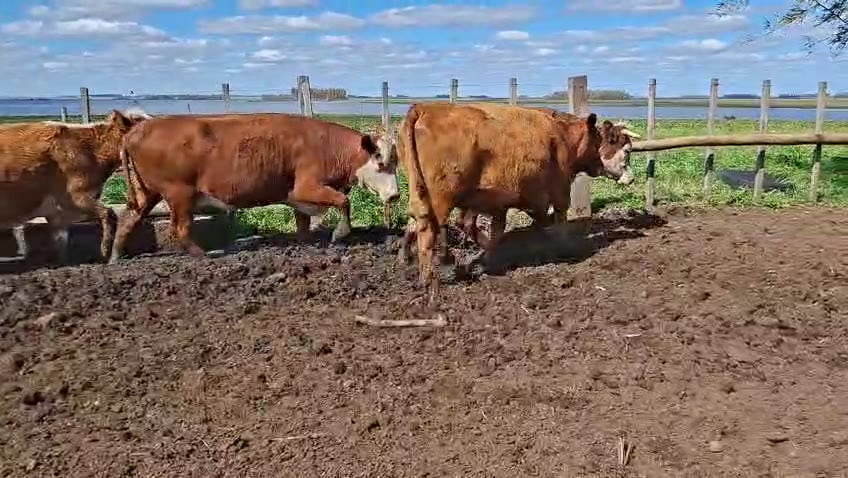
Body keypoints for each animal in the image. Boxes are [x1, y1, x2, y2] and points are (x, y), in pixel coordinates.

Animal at [108, 113, 400, 263]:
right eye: (380, 162)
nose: (395, 195)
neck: (325, 145)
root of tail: (136, 129)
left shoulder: (298, 198)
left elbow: (303, 223)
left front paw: (307, 243)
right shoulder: (305, 188)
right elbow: (343, 202)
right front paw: (339, 234)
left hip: (146, 193)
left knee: (129, 219)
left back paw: (115, 257)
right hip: (179, 195)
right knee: (179, 228)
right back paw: (204, 254)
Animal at [395, 102, 636, 299]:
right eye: (625, 150)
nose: (631, 177)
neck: (561, 134)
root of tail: (424, 108)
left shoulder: (500, 202)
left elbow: (499, 229)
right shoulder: (558, 191)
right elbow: (556, 219)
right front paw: (561, 248)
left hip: (422, 193)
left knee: (417, 221)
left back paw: (411, 261)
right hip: (441, 199)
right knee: (427, 229)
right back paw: (430, 280)